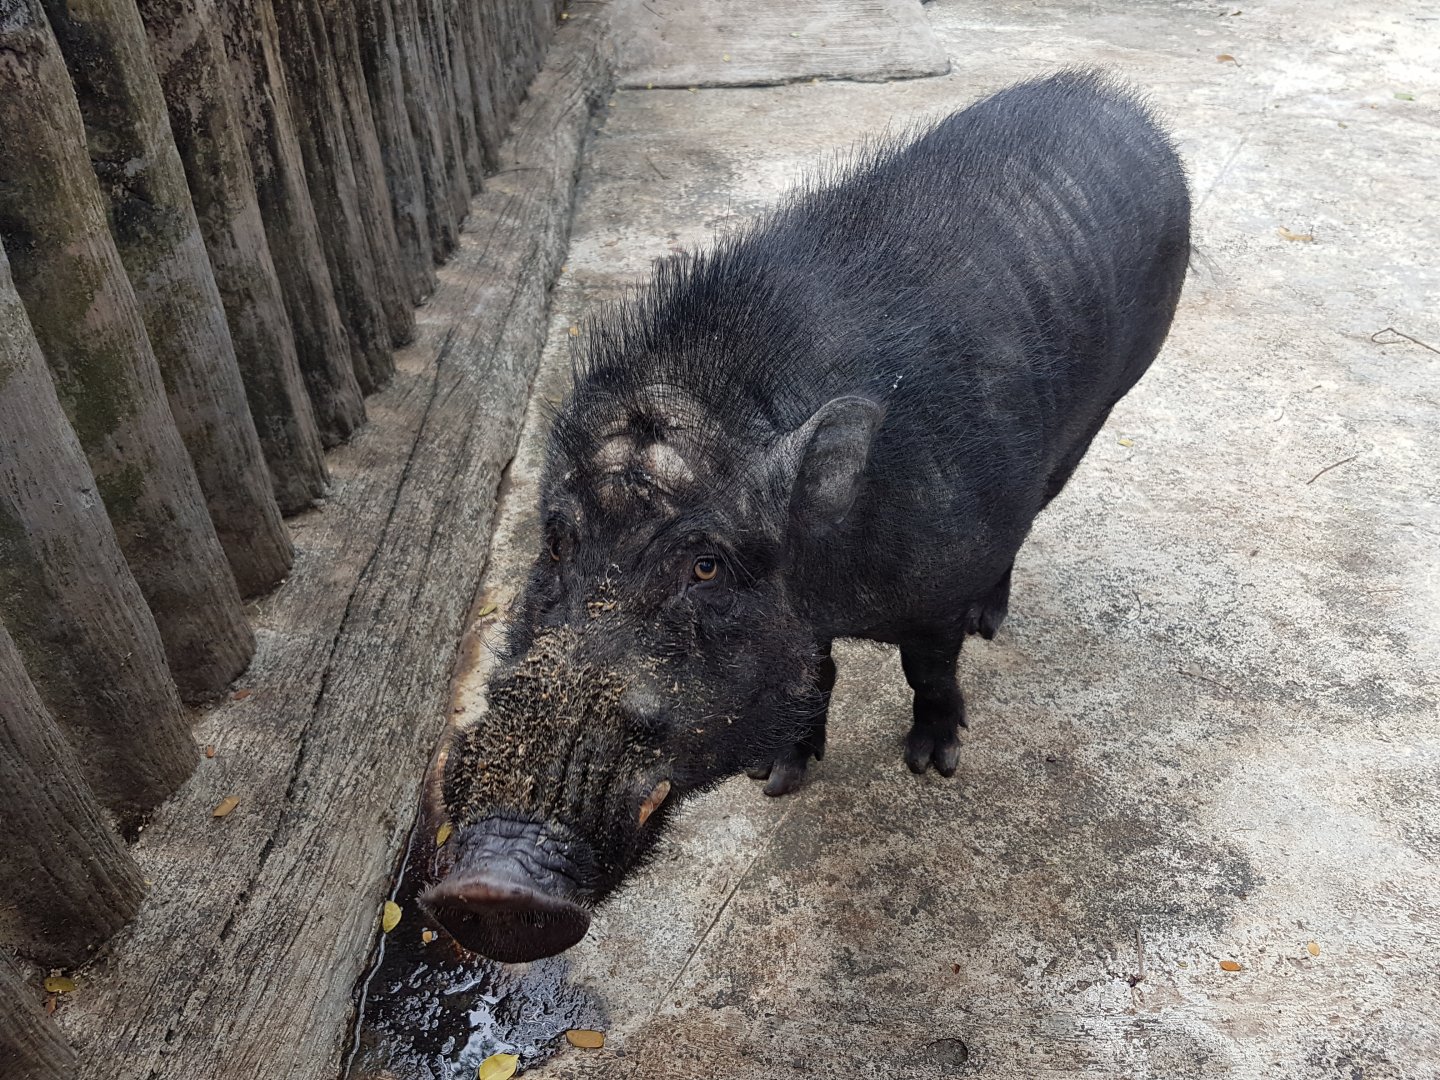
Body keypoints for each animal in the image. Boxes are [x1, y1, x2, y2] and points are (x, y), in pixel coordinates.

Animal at [420, 70, 1191, 963]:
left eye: (707, 564)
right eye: (554, 539)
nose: (491, 886)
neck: (833, 580)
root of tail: (1124, 106)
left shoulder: (939, 581)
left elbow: (930, 667)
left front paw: (932, 765)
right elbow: (815, 670)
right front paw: (778, 780)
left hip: (1106, 406)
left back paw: (992, 620)